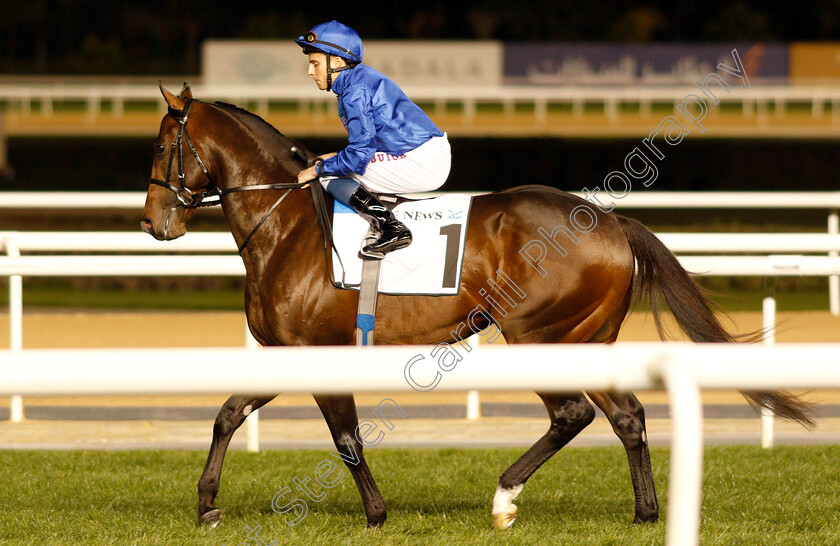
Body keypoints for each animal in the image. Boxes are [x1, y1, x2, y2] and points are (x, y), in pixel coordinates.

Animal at [141, 84, 812, 528]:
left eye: (164, 146)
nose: (153, 222)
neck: (286, 227)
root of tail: (611, 224)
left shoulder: (318, 353)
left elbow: (347, 438)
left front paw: (377, 513)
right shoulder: (286, 351)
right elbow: (227, 415)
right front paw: (206, 504)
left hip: (539, 334)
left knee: (574, 414)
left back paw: (505, 497)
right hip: (587, 338)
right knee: (627, 416)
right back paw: (645, 512)